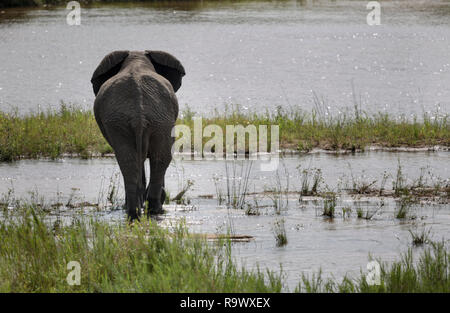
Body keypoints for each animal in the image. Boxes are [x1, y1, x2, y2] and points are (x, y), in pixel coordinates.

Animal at [90, 50, 185, 219]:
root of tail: (138, 113)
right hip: (149, 120)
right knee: (152, 158)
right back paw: (148, 210)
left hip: (149, 120)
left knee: (139, 159)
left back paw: (140, 211)